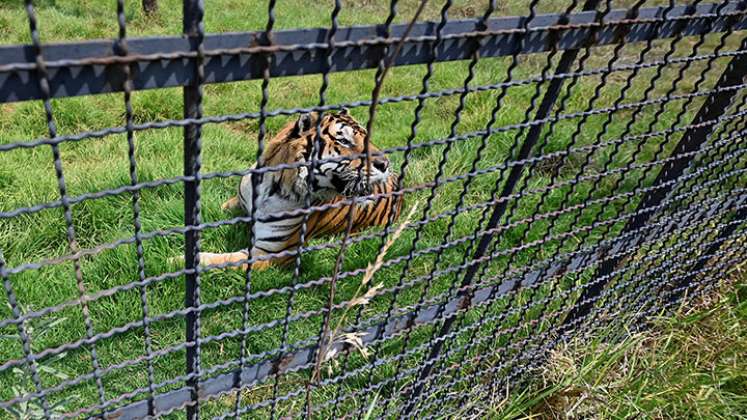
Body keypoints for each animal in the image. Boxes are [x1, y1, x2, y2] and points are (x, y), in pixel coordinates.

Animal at [196, 108, 400, 270]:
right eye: (344, 141)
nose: (385, 164)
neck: (271, 187)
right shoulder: (238, 202)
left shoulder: (270, 252)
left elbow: (223, 260)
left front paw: (191, 260)